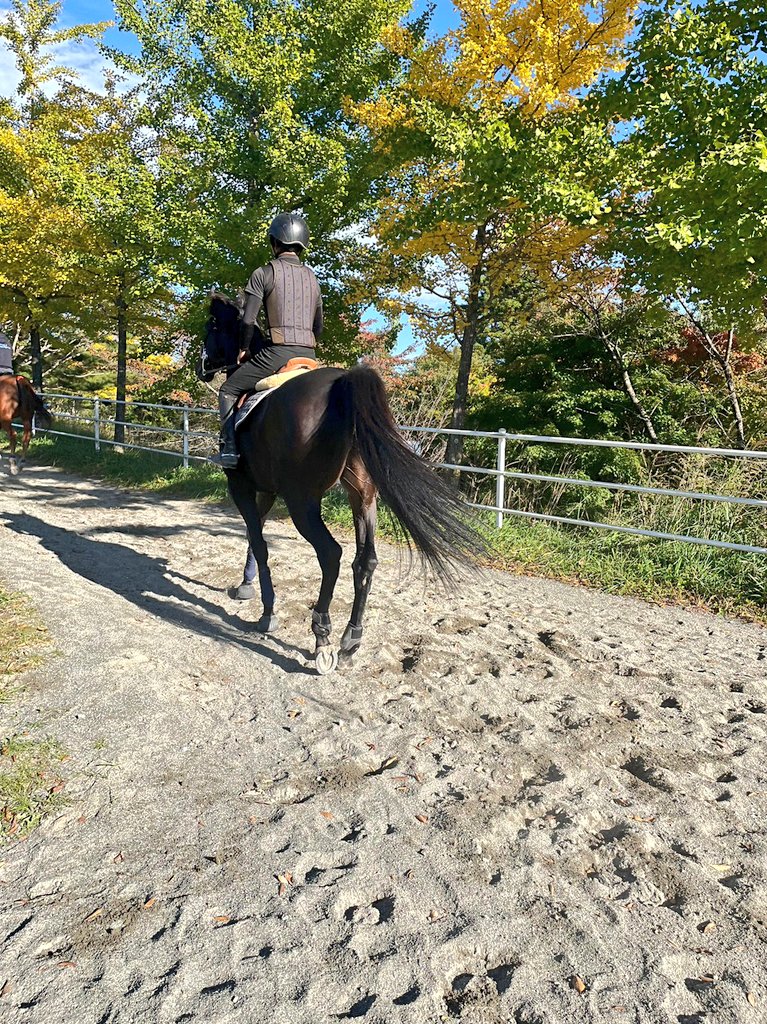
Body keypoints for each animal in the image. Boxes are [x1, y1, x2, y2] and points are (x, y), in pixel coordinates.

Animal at [207, 294, 483, 674]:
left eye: (211, 326)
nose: (203, 365)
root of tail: (344, 383)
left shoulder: (242, 486)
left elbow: (260, 543)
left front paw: (267, 612)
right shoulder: (267, 490)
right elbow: (254, 536)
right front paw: (246, 587)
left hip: (303, 502)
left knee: (331, 554)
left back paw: (322, 637)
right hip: (363, 497)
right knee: (365, 561)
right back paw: (351, 637)